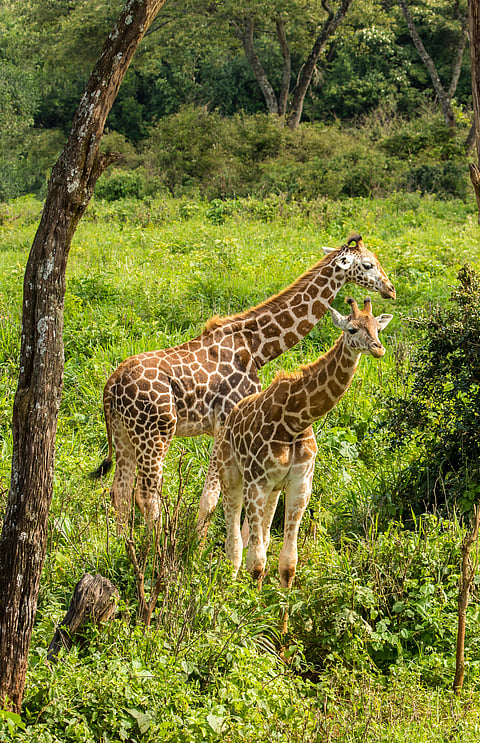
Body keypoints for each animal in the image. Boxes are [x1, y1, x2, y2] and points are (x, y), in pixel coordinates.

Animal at [90, 234, 395, 533]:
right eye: (368, 264)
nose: (390, 290)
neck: (257, 347)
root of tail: (111, 386)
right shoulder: (225, 422)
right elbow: (212, 497)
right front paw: (199, 546)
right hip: (155, 434)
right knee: (146, 494)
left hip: (124, 434)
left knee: (120, 490)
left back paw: (122, 543)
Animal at [216, 297, 393, 592]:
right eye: (352, 329)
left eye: (377, 329)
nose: (378, 349)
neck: (294, 422)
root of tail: (231, 416)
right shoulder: (256, 482)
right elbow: (257, 562)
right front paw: (250, 604)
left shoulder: (300, 483)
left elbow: (287, 562)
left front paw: (280, 602)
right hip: (231, 474)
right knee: (234, 544)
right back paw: (226, 589)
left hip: (273, 490)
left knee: (258, 536)